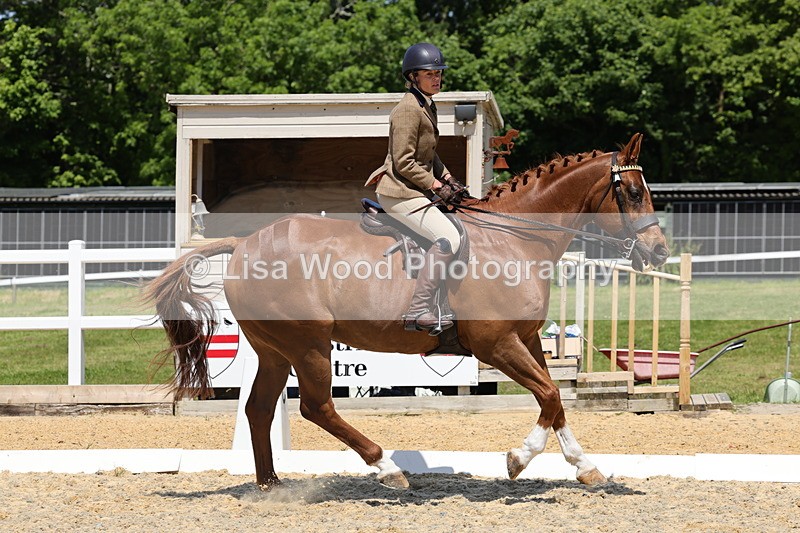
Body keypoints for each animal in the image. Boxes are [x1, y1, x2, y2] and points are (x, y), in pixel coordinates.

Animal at [146, 133, 669, 490]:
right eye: (634, 193)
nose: (660, 252)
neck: (515, 240)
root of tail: (244, 243)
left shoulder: (525, 340)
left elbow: (554, 402)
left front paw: (587, 466)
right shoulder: (496, 344)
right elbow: (550, 395)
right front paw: (518, 459)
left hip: (275, 348)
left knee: (258, 408)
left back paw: (271, 484)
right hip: (307, 343)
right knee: (317, 406)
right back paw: (387, 469)